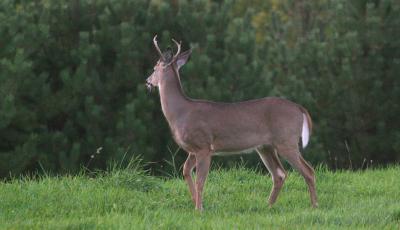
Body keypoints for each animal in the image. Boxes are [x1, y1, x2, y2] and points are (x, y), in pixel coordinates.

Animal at [145, 35, 318, 210]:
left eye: (154, 68)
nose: (147, 81)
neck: (180, 112)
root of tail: (300, 108)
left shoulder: (204, 145)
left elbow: (200, 181)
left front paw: (199, 209)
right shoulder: (193, 149)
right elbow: (185, 171)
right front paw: (195, 202)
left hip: (286, 140)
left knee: (308, 171)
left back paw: (314, 205)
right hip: (265, 146)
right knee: (280, 174)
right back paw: (268, 205)